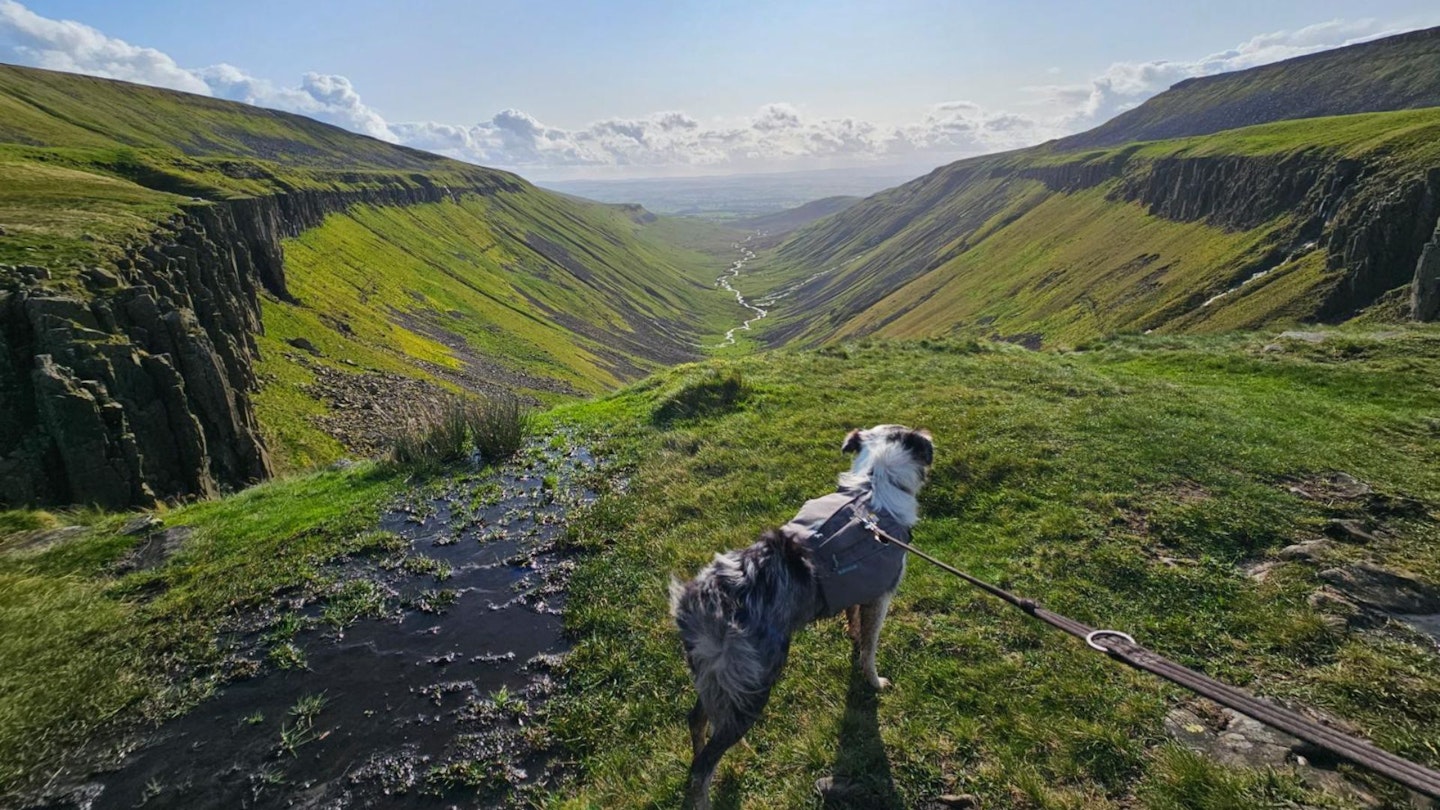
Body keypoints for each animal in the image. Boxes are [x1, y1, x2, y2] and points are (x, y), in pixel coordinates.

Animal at [665, 426, 933, 801]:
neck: (871, 486)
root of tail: (698, 600)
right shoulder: (881, 597)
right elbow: (870, 648)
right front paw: (875, 682)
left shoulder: (860, 592)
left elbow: (853, 622)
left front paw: (852, 639)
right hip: (753, 683)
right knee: (701, 768)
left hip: (715, 678)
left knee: (696, 720)